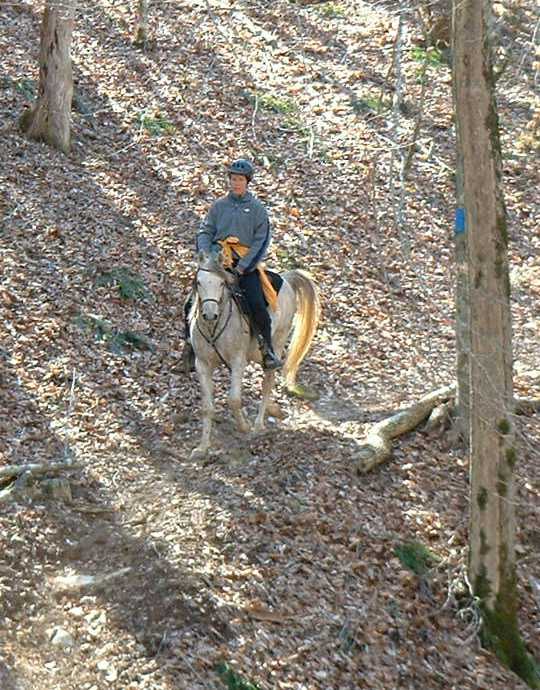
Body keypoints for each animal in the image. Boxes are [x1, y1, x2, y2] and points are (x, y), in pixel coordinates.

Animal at [188, 250, 318, 460]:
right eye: (198, 282)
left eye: (221, 283)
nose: (209, 315)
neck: (213, 327)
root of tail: (287, 279)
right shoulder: (203, 366)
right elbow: (207, 407)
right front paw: (203, 447)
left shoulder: (238, 362)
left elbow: (233, 400)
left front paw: (244, 427)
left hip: (277, 344)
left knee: (267, 382)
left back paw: (258, 425)